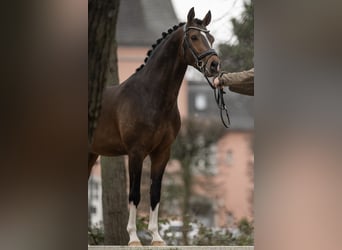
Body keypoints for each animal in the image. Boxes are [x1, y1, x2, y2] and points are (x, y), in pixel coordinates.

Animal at [88, 7, 220, 246]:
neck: (151, 96)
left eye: (211, 38)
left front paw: (157, 237)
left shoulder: (162, 153)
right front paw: (133, 238)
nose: (214, 65)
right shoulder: (136, 152)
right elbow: (134, 194)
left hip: (91, 154)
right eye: (194, 37)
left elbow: (155, 193)